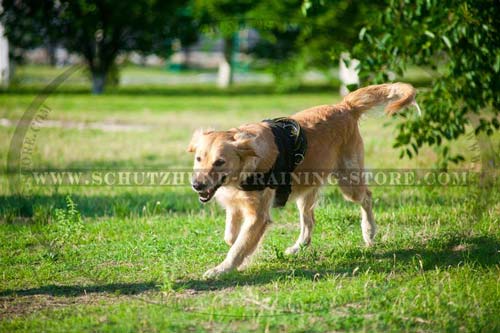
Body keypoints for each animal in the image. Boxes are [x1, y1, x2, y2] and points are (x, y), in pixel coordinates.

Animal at [188, 82, 418, 278]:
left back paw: (369, 232)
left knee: (367, 197)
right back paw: (297, 247)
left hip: (348, 182)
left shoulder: (258, 215)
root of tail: (344, 106)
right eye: (198, 158)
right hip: (305, 191)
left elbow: (238, 247)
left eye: (219, 162)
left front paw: (222, 269)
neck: (245, 169)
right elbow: (231, 236)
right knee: (309, 223)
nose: (196, 185)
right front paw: (241, 254)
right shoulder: (236, 204)